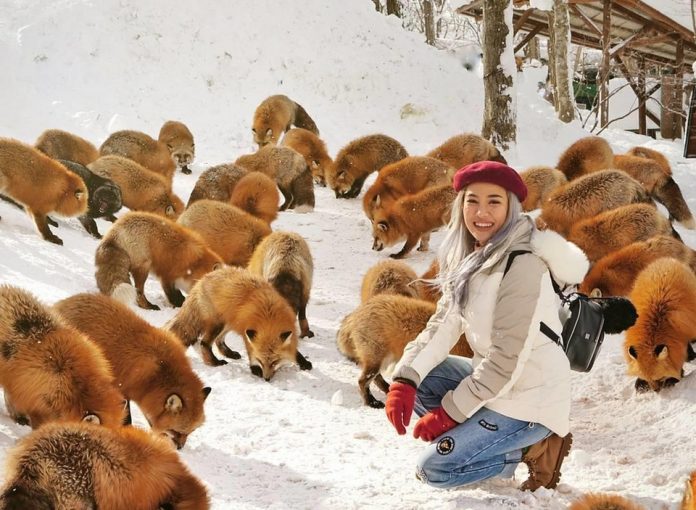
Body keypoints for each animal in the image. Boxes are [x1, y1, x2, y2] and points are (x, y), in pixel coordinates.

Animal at [53, 293, 210, 450]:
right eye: (175, 431)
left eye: (190, 432)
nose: (180, 448)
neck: (158, 373)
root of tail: (66, 301)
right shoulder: (121, 389)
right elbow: (127, 417)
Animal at [95, 211, 223, 310]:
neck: (195, 264)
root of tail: (114, 232)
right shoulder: (168, 275)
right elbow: (175, 296)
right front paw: (180, 306)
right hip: (144, 267)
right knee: (139, 292)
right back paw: (149, 306)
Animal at [166, 267, 312, 380]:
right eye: (261, 361)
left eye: (274, 362)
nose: (266, 378)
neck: (269, 318)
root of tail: (201, 280)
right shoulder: (248, 332)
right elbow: (250, 352)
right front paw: (255, 369)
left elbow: (295, 351)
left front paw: (303, 362)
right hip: (218, 323)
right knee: (204, 343)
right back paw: (214, 362)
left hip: (229, 323)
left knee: (218, 341)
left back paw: (229, 354)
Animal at [625, 258, 696, 392]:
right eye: (647, 379)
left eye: (660, 378)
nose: (656, 391)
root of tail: (665, 259)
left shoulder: (681, 334)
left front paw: (673, 378)